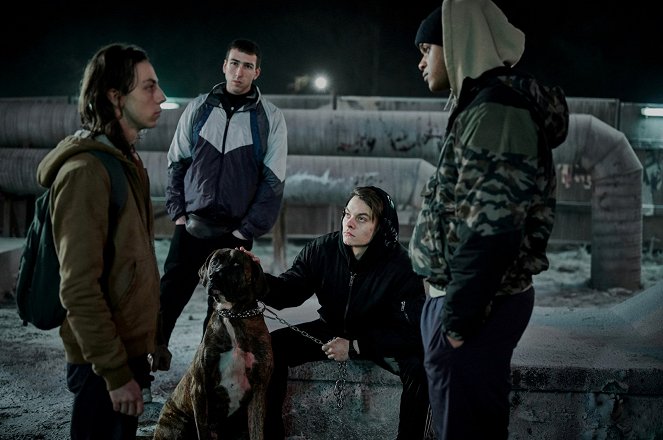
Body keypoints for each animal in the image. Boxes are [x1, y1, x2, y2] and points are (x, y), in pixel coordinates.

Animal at [153, 249, 272, 438]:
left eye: (237, 264)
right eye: (215, 261)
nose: (214, 274)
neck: (232, 314)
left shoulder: (259, 389)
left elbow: (257, 431)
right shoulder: (200, 387)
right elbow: (202, 429)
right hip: (174, 426)